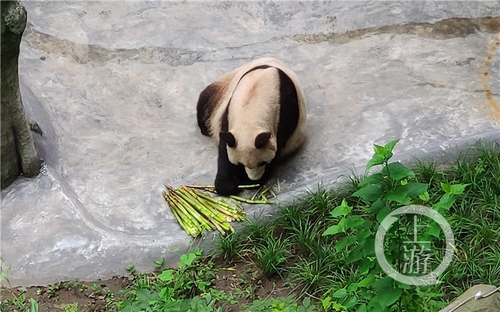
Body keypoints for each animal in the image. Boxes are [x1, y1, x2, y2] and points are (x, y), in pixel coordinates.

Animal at [195, 57, 304, 194]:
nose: (253, 179)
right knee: (205, 101)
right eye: (240, 164)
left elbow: (278, 147)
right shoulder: (229, 111)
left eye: (262, 162)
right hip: (223, 87)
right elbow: (224, 146)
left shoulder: (284, 112)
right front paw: (226, 184)